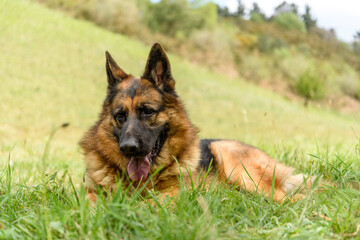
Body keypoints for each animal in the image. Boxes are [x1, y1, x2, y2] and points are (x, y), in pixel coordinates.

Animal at [80, 42, 314, 201]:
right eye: (120, 116)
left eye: (147, 111)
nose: (128, 148)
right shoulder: (89, 192)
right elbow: (89, 202)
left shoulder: (173, 195)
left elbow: (147, 203)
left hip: (235, 164)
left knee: (293, 198)